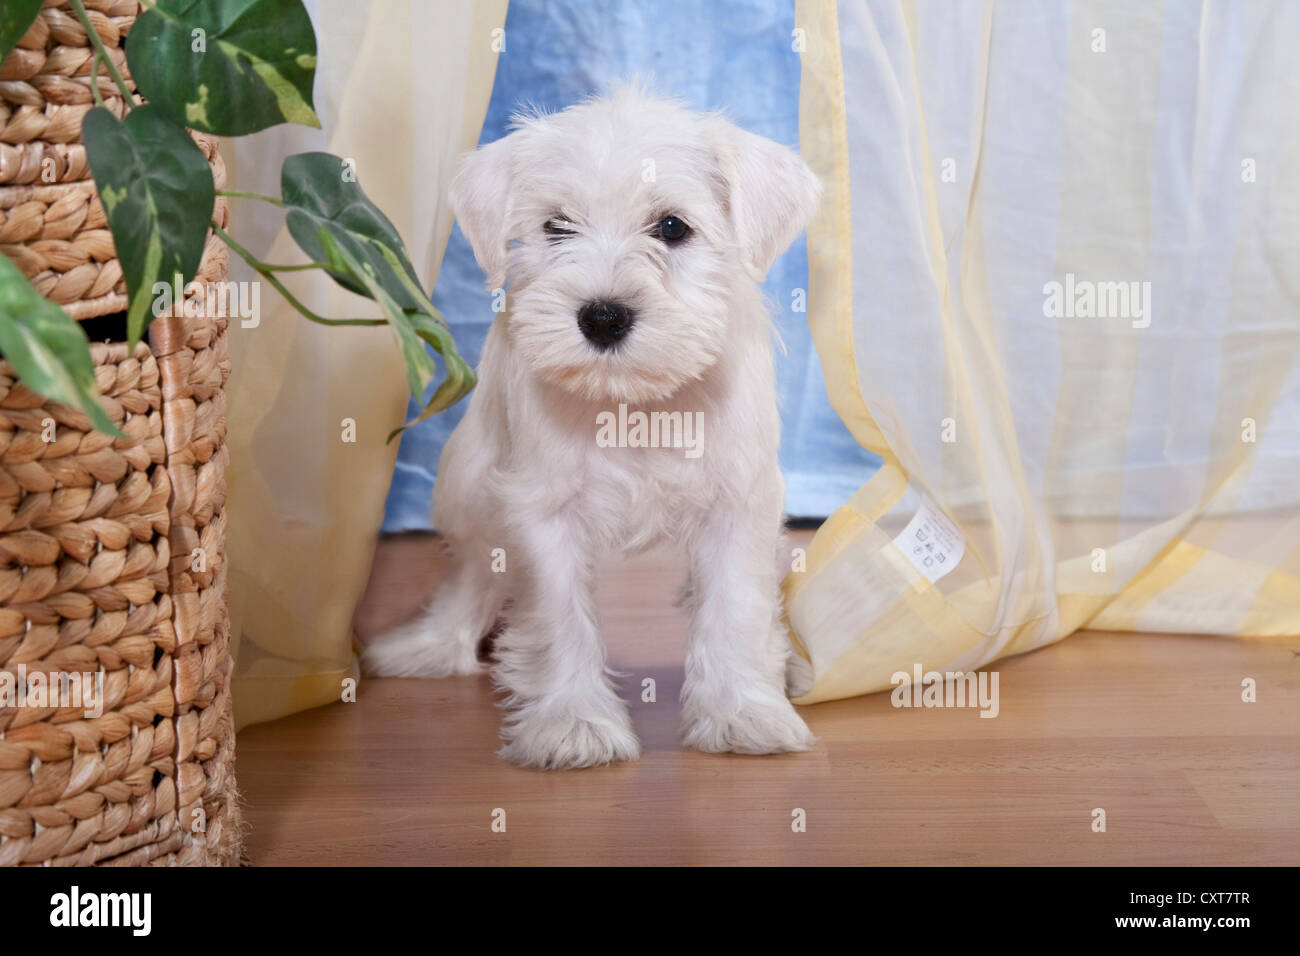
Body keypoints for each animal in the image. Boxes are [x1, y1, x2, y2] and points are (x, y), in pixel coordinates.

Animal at [361, 87, 816, 770]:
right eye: (556, 226)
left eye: (673, 227)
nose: (602, 317)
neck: (633, 403)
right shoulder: (541, 511)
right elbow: (559, 620)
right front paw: (572, 724)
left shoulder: (738, 504)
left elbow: (735, 607)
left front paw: (743, 713)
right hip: (468, 483)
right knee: (472, 573)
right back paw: (430, 646)